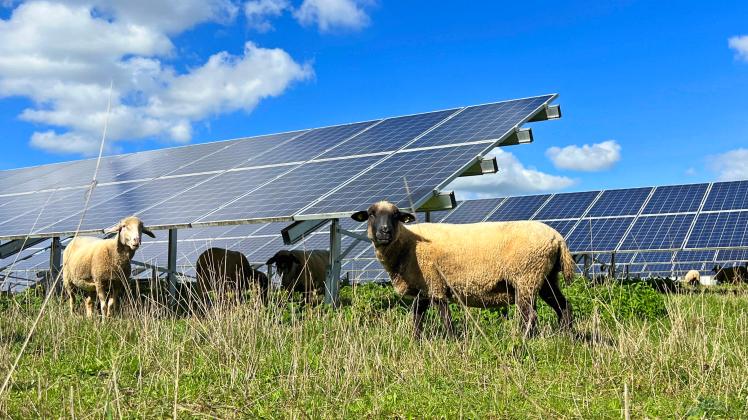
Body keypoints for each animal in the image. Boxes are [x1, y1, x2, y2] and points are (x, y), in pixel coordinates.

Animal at [351, 200, 575, 338]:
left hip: (526, 276)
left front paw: (453, 342)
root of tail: (558, 238)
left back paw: (522, 342)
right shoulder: (423, 290)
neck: (408, 244)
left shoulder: (435, 284)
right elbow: (416, 318)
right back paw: (567, 337)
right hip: (546, 278)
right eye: (371, 215)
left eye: (396, 215)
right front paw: (416, 342)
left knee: (530, 316)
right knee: (564, 306)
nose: (385, 232)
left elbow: (445, 318)